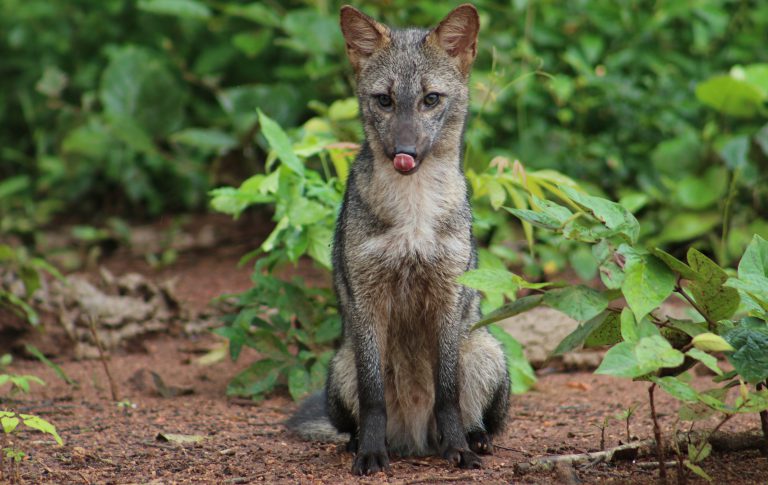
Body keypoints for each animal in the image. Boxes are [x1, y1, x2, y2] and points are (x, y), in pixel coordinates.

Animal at [287, 3, 510, 476]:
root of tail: (415, 438)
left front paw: (458, 449)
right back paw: (362, 443)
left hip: (484, 351)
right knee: (355, 422)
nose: (404, 152)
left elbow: (447, 394)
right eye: (384, 100)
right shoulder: (368, 301)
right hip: (342, 365)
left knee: (477, 416)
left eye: (431, 99)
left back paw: (473, 438)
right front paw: (371, 453)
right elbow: (374, 400)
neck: (413, 215)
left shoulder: (448, 296)